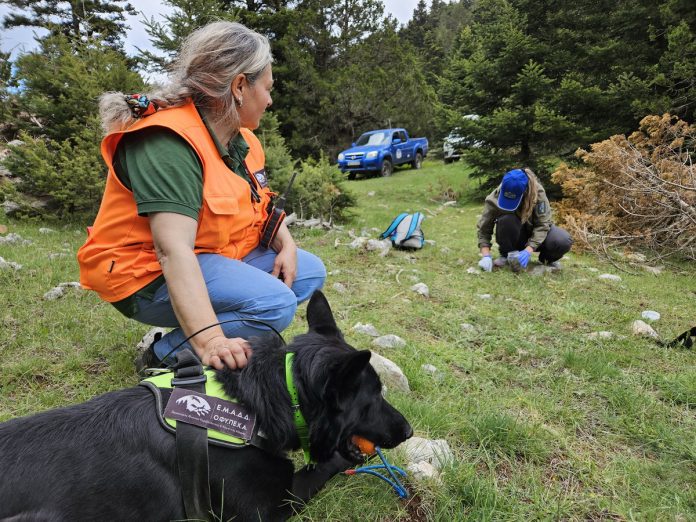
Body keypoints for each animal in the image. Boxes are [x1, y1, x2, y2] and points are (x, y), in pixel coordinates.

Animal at [0, 290, 410, 516]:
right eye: (373, 396)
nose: (408, 430)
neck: (266, 397)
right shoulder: (269, 508)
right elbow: (322, 468)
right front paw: (341, 460)